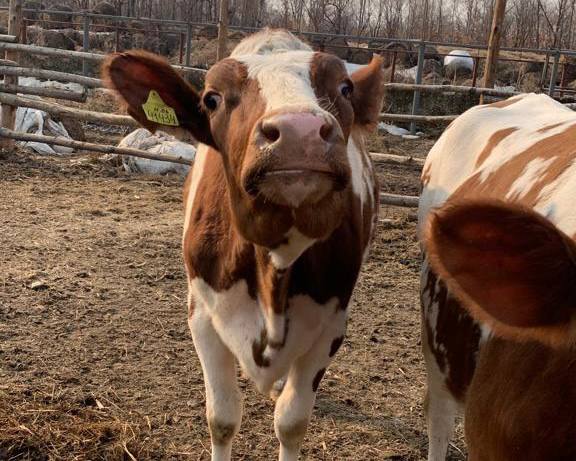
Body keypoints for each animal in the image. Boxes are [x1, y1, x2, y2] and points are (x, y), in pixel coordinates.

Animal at [102, 29, 384, 460]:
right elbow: (222, 419)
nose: (299, 131)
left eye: (345, 88)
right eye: (212, 98)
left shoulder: (332, 325)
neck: (276, 263)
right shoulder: (203, 316)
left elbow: (292, 423)